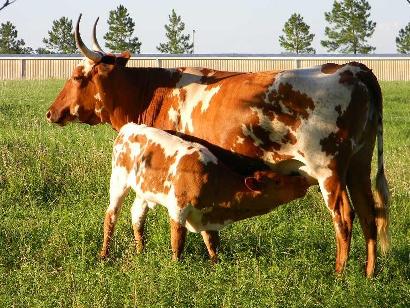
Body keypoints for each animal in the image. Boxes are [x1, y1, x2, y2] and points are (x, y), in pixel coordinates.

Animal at [101, 122, 310, 262]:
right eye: (277, 181)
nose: (302, 180)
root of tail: (130, 127)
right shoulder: (178, 208)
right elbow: (178, 241)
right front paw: (175, 267)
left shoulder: (207, 214)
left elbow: (212, 242)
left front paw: (216, 264)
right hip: (118, 180)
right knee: (111, 216)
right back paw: (104, 255)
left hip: (144, 191)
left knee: (136, 216)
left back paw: (140, 252)